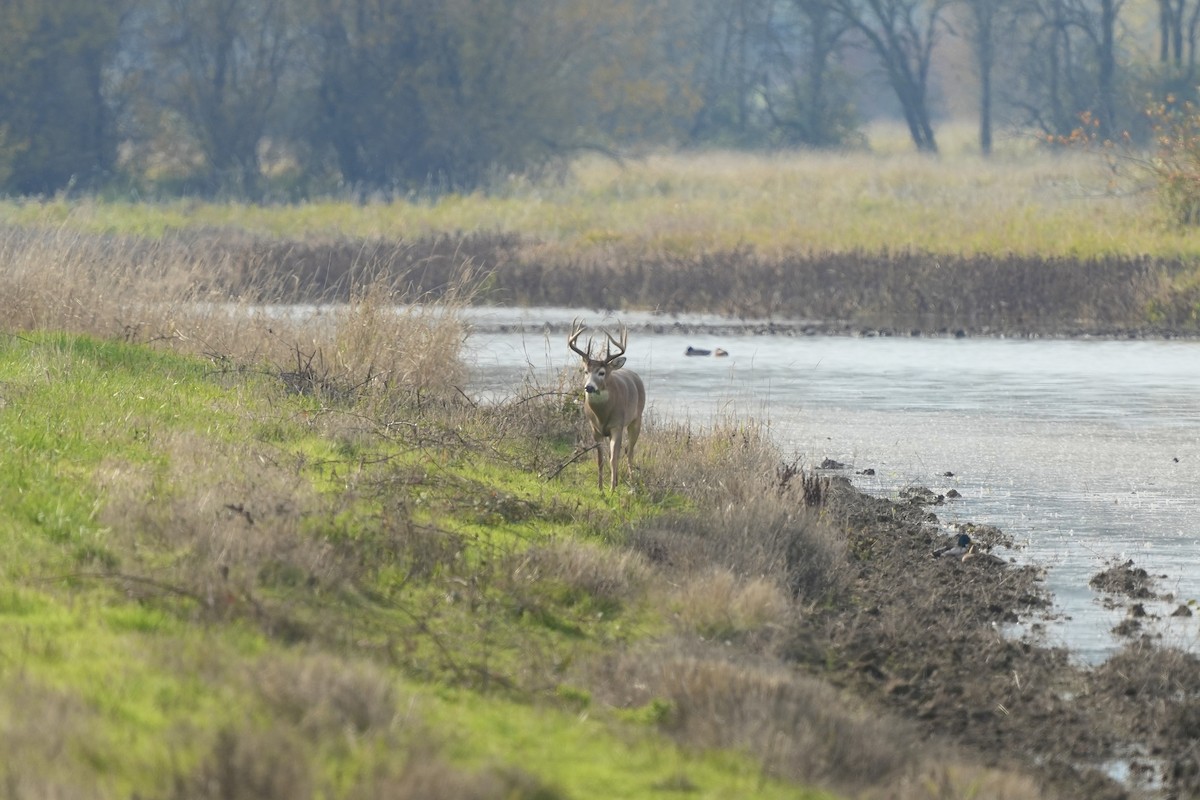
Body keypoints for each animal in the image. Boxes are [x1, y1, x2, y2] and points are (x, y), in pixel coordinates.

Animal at [567, 319, 646, 492]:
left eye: (601, 372)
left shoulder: (617, 425)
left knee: (629, 452)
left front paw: (612, 489)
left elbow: (613, 459)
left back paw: (631, 483)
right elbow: (600, 459)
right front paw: (600, 488)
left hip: (636, 419)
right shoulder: (594, 429)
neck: (602, 415)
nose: (589, 387)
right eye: (585, 371)